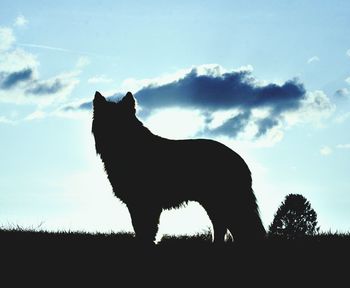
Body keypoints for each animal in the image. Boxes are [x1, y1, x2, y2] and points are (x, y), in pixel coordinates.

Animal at [93, 91, 266, 244]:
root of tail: (239, 159)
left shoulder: (145, 203)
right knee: (223, 226)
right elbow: (141, 230)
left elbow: (145, 231)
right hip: (214, 203)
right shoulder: (137, 203)